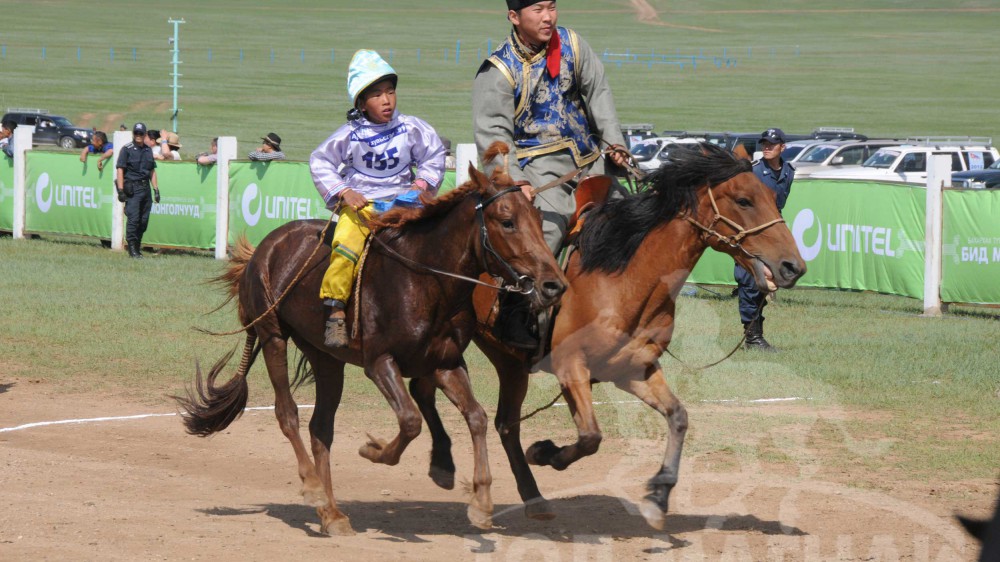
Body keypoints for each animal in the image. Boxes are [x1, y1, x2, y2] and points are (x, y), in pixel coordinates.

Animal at [175, 145, 568, 532]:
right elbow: (410, 421)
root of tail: (265, 247)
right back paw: (313, 488)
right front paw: (374, 450)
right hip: (273, 336)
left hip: (326, 358)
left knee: (321, 428)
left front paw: (482, 501)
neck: (424, 281)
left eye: (538, 220)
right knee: (287, 414)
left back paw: (331, 514)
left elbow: (476, 417)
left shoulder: (445, 363)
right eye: (507, 221)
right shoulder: (380, 362)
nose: (553, 285)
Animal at [410, 140, 808, 524]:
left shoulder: (632, 370)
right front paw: (545, 452)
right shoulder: (571, 368)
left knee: (503, 423)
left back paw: (531, 496)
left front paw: (659, 496)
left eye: (772, 196)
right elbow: (590, 436)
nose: (793, 267)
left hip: (508, 362)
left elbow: (677, 417)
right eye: (743, 200)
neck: (623, 276)